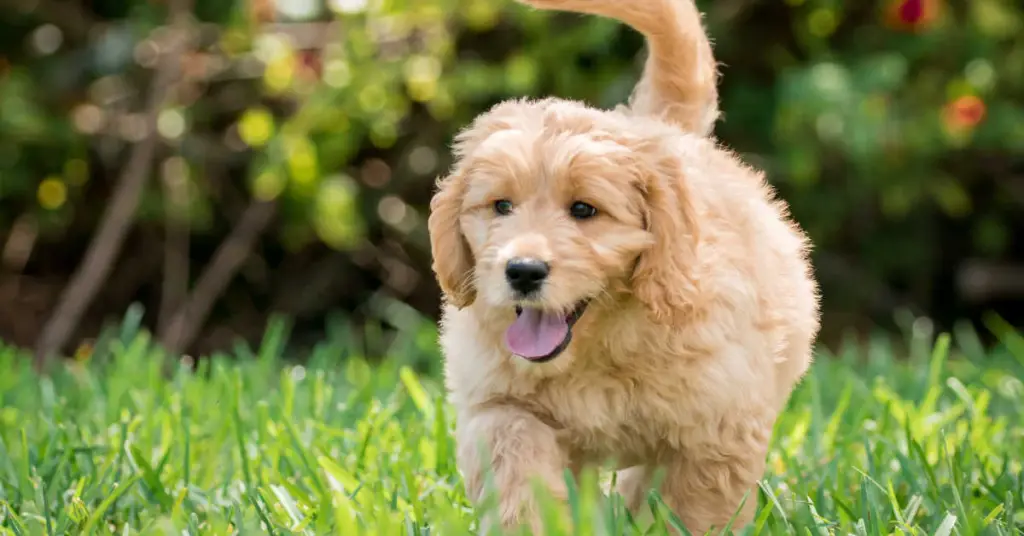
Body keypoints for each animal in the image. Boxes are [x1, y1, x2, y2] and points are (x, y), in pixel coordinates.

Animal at [428, 0, 819, 532]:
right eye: (501, 206)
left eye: (584, 210)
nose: (522, 271)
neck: (599, 349)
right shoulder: (498, 403)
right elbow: (516, 467)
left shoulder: (718, 432)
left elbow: (696, 513)